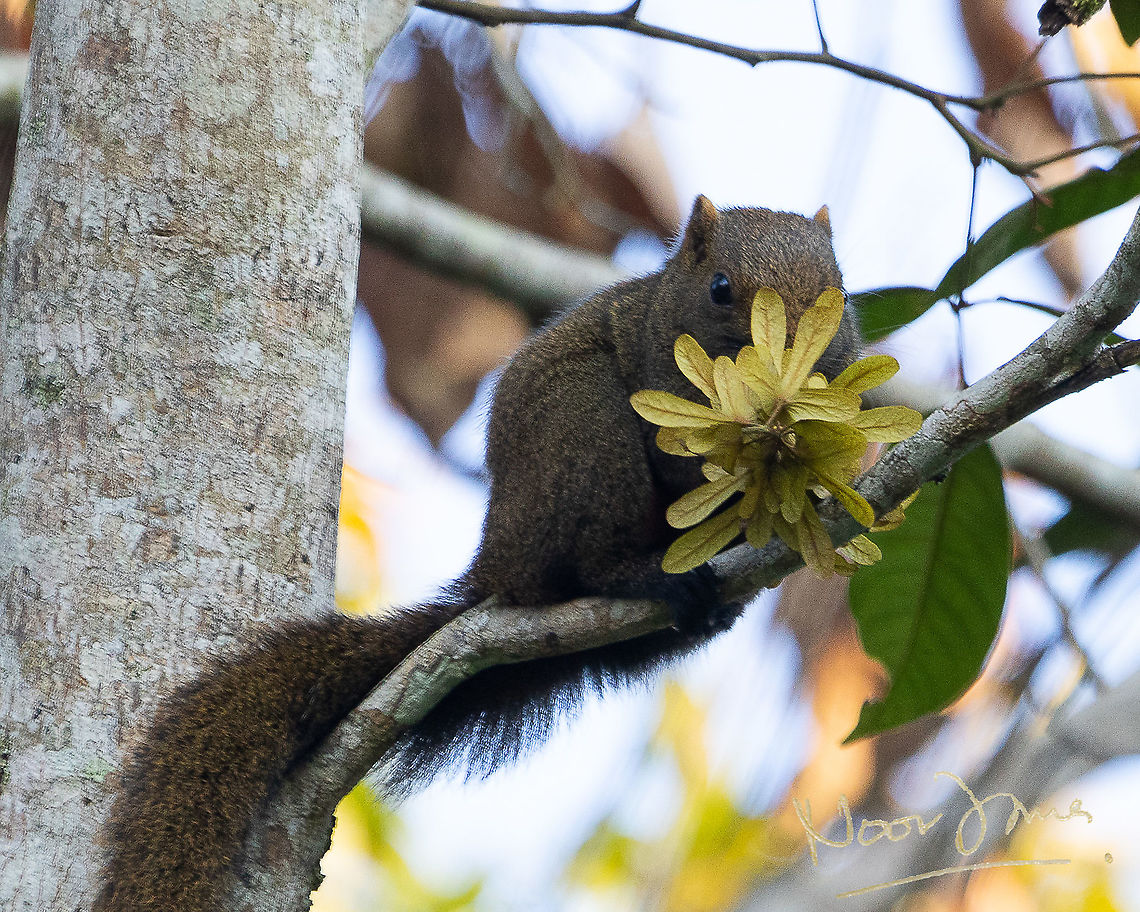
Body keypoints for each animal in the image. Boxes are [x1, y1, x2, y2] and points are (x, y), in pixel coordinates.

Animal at [94, 195, 860, 912]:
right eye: (722, 288)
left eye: (840, 289)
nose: (793, 348)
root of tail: (500, 564)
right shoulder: (658, 379)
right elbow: (683, 460)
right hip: (584, 431)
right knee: (595, 556)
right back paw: (643, 576)